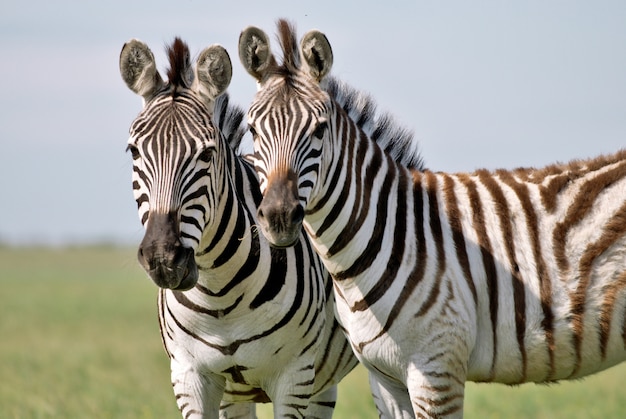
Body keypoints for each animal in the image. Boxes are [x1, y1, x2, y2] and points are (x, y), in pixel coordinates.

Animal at [119, 37, 358, 419]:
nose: (163, 258)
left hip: (321, 382)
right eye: (134, 152)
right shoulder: (189, 376)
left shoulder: (294, 377)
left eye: (206, 155)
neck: (220, 296)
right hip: (238, 393)